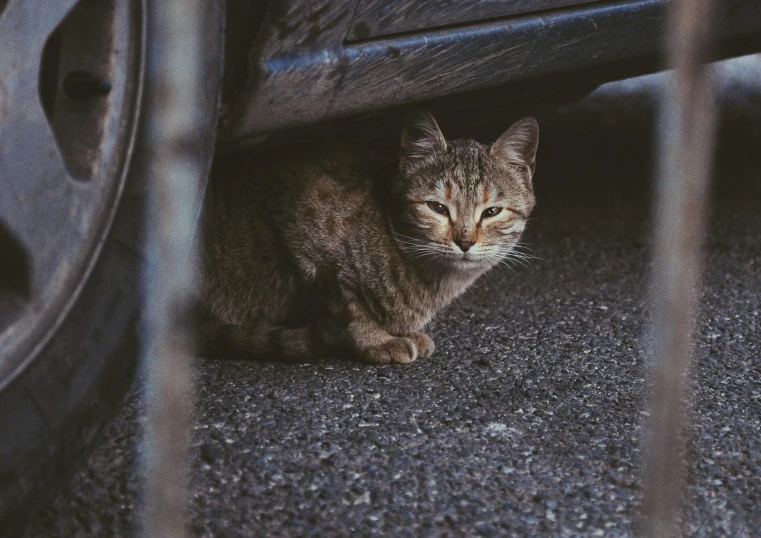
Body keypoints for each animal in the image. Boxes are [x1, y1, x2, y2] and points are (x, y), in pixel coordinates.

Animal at [199, 109, 536, 362]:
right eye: (437, 207)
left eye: (492, 212)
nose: (464, 241)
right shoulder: (305, 229)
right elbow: (349, 306)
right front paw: (375, 339)